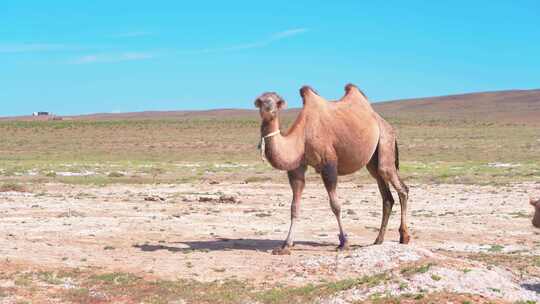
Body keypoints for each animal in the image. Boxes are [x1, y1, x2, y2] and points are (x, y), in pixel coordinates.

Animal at [254, 84, 410, 253]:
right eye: (260, 101)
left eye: (277, 101)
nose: (269, 109)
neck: (302, 136)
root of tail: (385, 123)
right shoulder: (297, 168)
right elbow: (294, 207)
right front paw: (286, 245)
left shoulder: (329, 164)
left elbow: (335, 205)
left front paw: (344, 243)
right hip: (373, 161)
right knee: (386, 196)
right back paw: (378, 240)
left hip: (385, 141)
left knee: (399, 186)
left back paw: (404, 237)